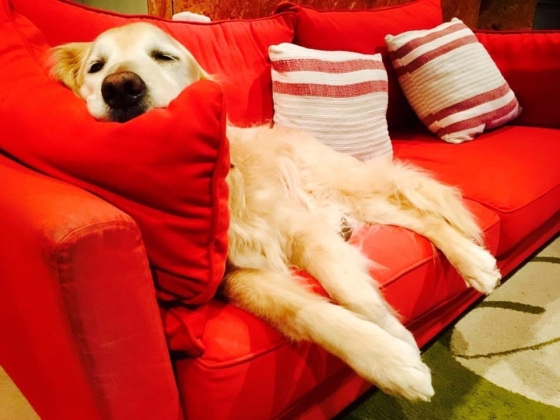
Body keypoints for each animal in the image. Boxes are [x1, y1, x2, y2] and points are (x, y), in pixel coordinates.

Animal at [50, 22, 502, 401]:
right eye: (96, 67)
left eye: (164, 56)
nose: (120, 88)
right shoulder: (237, 277)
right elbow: (301, 309)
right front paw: (390, 359)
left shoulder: (300, 229)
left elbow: (352, 291)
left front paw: (397, 339)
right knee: (414, 217)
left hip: (347, 185)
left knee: (421, 212)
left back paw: (476, 263)